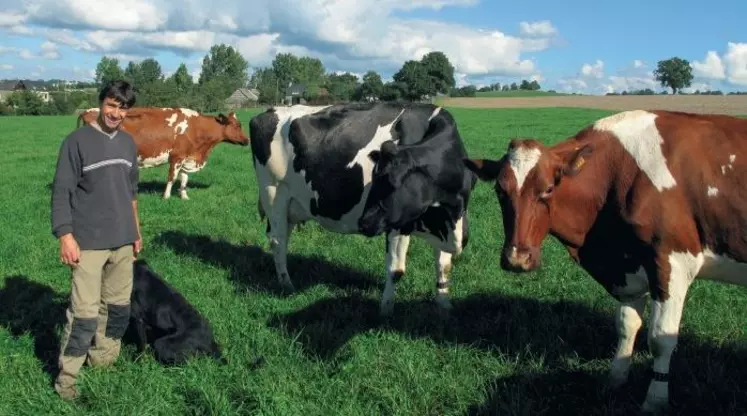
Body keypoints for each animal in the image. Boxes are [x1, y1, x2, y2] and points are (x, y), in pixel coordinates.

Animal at [78, 106, 250, 199]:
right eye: (237, 125)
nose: (247, 140)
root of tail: (88, 111)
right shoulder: (177, 157)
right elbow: (172, 178)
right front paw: (166, 196)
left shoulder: (186, 157)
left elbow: (184, 179)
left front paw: (184, 196)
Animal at [248, 101, 476, 316]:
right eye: (376, 178)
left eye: (392, 183)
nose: (365, 223)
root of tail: (268, 111)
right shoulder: (398, 224)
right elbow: (396, 270)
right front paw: (385, 311)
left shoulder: (443, 221)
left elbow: (444, 264)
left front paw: (444, 305)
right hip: (274, 193)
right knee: (277, 240)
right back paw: (287, 285)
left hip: (291, 205)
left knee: (282, 237)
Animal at [464, 109, 747, 414]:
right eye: (500, 191)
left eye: (549, 189)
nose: (517, 258)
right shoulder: (629, 266)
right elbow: (626, 324)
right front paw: (615, 379)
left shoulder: (674, 261)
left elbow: (661, 338)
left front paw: (655, 400)